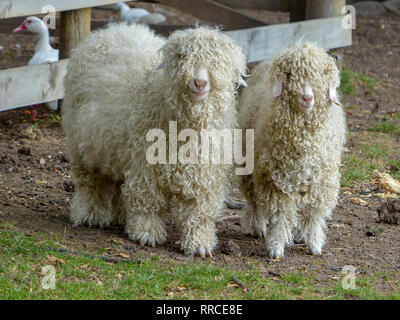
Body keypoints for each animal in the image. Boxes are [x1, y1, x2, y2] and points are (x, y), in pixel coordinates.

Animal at [62, 23, 247, 258]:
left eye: (218, 61)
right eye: (182, 56)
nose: (199, 82)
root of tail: (110, 30)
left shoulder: (204, 173)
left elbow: (199, 212)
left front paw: (200, 244)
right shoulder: (145, 165)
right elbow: (147, 201)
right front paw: (146, 233)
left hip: (116, 148)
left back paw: (120, 216)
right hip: (82, 142)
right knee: (91, 182)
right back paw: (90, 215)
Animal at [238, 43, 346, 258]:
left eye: (321, 74)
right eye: (289, 74)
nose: (307, 97)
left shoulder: (321, 180)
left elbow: (313, 213)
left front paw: (314, 244)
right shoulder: (277, 180)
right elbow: (280, 214)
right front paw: (276, 247)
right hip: (250, 166)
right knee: (253, 199)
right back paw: (257, 226)